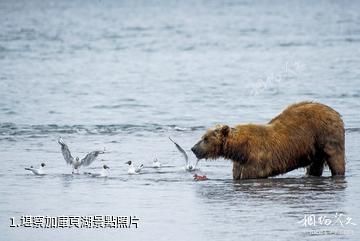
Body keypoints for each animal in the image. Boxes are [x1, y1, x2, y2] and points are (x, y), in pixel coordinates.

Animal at [191, 101, 346, 179]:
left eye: (205, 138)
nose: (193, 148)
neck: (240, 150)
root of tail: (335, 112)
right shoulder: (241, 162)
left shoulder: (255, 159)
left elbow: (252, 174)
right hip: (315, 147)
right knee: (315, 166)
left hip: (327, 137)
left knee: (336, 160)